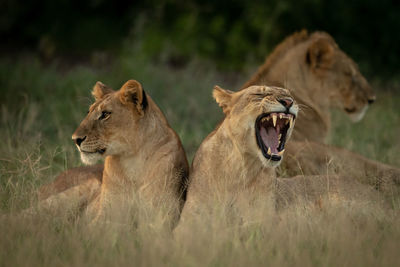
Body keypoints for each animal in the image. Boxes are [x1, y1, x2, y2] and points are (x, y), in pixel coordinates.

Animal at [34, 80, 188, 226]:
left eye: (105, 114)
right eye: (88, 112)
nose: (75, 139)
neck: (132, 160)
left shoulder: (162, 215)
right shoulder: (107, 215)